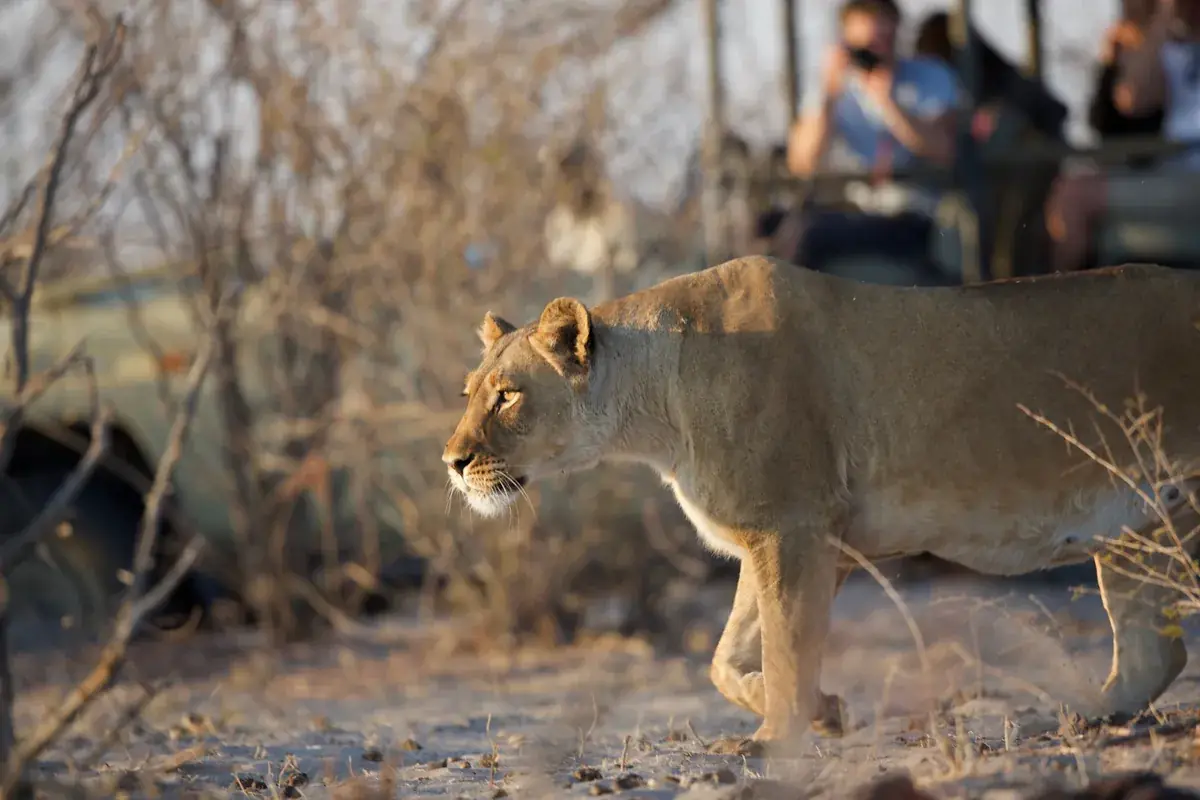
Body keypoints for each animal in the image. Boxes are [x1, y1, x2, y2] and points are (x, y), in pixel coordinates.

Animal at [443, 256, 1200, 755]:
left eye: (507, 396)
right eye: (469, 392)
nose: (452, 462)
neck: (656, 406)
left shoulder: (794, 527)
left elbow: (784, 645)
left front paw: (776, 736)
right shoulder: (791, 537)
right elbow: (728, 656)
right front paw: (825, 712)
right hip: (1134, 529)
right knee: (1150, 655)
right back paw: (1077, 722)